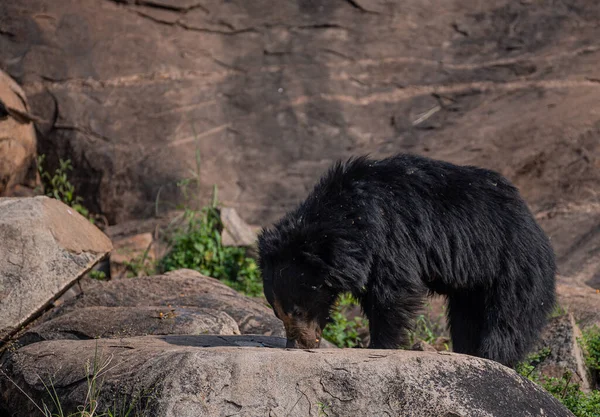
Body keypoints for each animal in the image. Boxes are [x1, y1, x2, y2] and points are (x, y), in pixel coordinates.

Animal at [255, 152, 556, 364]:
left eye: (298, 309)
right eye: (277, 312)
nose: (297, 345)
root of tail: (533, 223)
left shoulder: (392, 236)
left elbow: (394, 292)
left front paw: (379, 345)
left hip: (510, 265)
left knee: (508, 320)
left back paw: (494, 356)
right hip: (473, 282)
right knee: (466, 319)